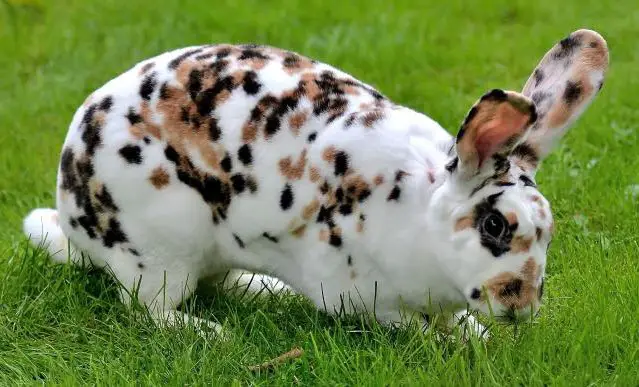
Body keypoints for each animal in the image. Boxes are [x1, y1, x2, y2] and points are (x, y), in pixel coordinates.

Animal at [23, 29, 608, 340]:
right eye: (494, 225)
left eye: (549, 232)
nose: (522, 307)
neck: (419, 214)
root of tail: (72, 218)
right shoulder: (363, 294)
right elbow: (410, 325)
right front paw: (462, 340)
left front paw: (475, 333)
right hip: (161, 251)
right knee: (149, 309)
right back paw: (211, 333)